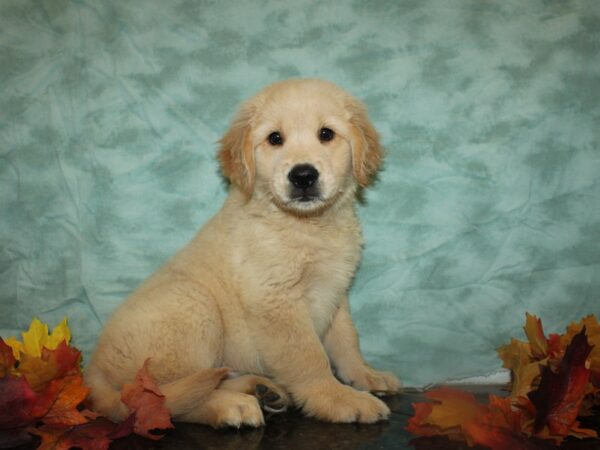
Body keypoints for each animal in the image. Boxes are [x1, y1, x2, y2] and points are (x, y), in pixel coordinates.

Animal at [84, 79, 400, 428]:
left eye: (326, 134)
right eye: (275, 138)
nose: (303, 176)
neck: (307, 225)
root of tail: (94, 372)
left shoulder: (335, 292)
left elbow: (347, 342)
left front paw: (366, 375)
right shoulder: (276, 301)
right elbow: (309, 357)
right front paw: (338, 399)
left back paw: (261, 388)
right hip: (191, 302)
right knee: (159, 399)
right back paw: (230, 405)